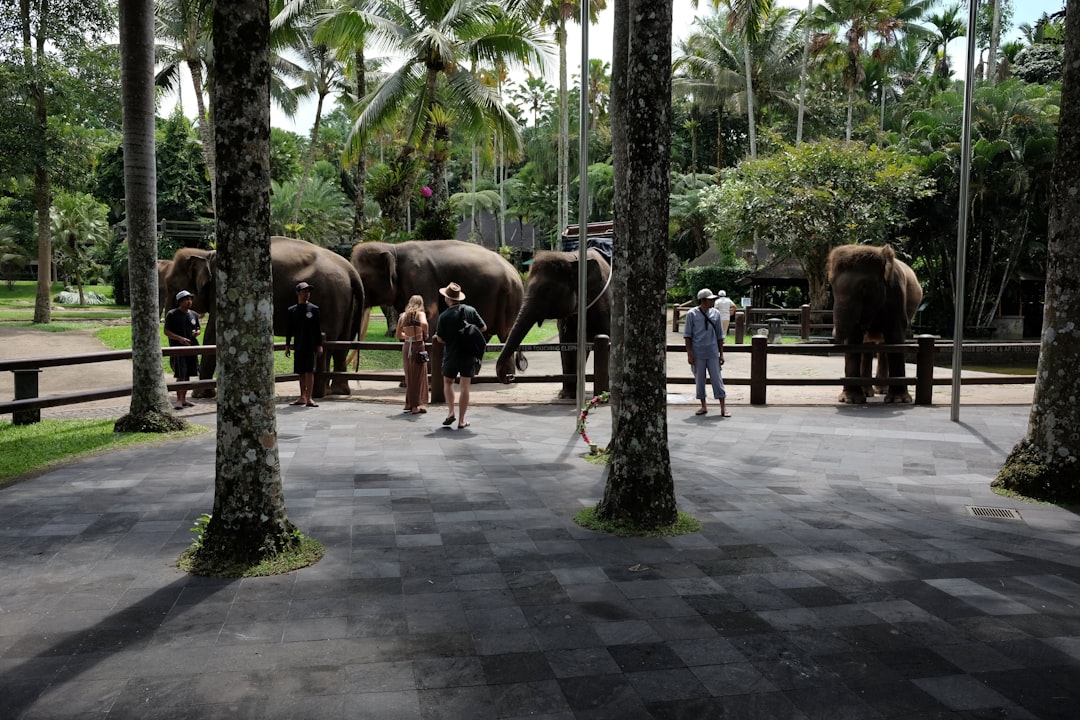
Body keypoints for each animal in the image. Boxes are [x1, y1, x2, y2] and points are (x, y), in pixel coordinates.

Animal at [164, 236, 367, 399]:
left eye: (172, 286)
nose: (175, 370)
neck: (207, 254)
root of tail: (351, 271)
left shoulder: (222, 289)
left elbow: (213, 334)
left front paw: (199, 395)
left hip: (331, 299)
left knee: (330, 342)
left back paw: (325, 392)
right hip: (346, 301)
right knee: (342, 343)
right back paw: (338, 391)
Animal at [352, 239, 524, 379]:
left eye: (364, 278)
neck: (393, 248)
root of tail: (516, 272)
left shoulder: (419, 277)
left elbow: (427, 318)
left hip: (509, 299)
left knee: (506, 335)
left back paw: (505, 377)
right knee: (483, 334)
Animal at [494, 249, 613, 399]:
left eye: (547, 289)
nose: (508, 377)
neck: (573, 258)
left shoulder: (606, 306)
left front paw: (606, 394)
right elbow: (569, 344)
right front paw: (566, 396)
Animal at [825, 245, 920, 405]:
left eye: (864, 288)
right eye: (831, 285)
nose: (832, 332)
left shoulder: (896, 294)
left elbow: (895, 336)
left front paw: (899, 400)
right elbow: (854, 339)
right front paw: (850, 400)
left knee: (883, 346)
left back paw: (882, 391)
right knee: (868, 347)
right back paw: (867, 392)